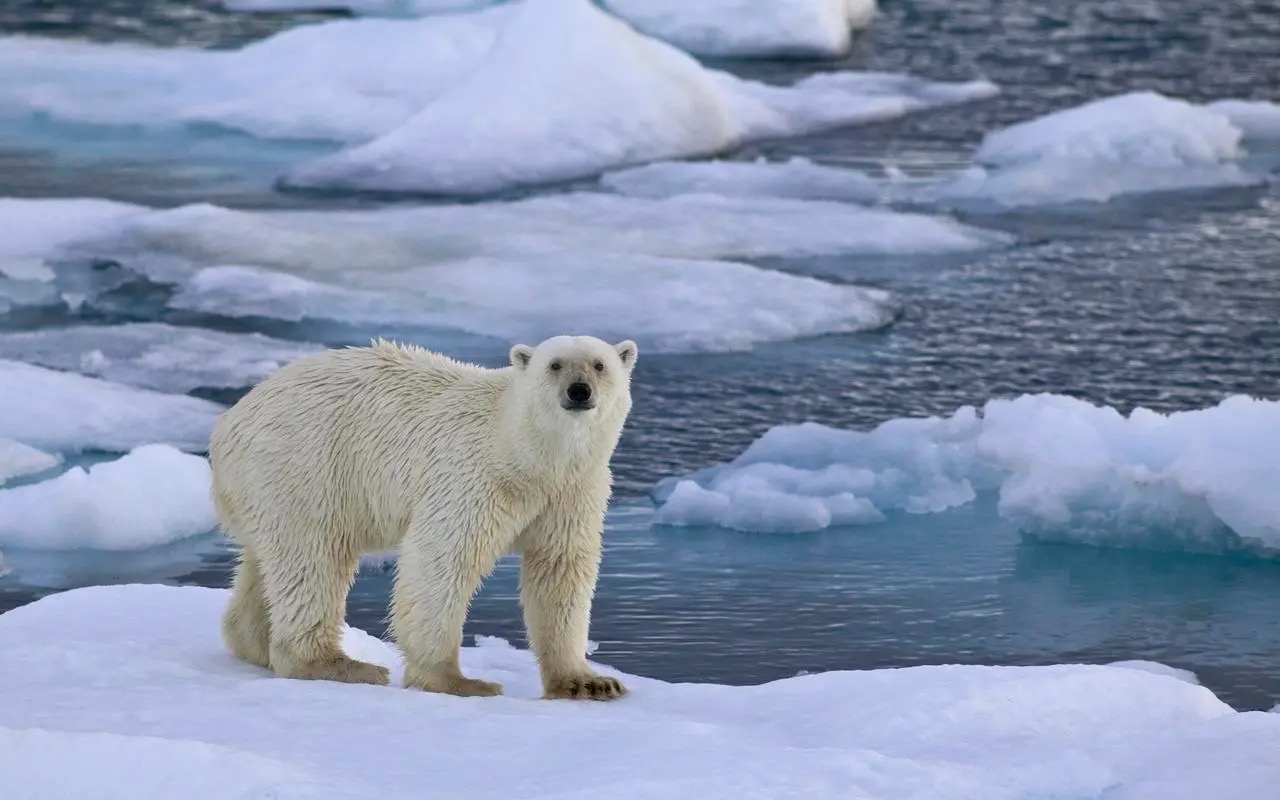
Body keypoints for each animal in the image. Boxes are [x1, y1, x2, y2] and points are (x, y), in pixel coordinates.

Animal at [208, 335, 640, 696]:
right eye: (555, 364)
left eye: (599, 365)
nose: (579, 391)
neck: (526, 456)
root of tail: (228, 423)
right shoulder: (473, 476)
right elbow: (442, 560)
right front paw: (458, 681)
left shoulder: (572, 492)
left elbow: (560, 569)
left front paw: (589, 682)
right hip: (304, 467)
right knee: (313, 559)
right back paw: (339, 664)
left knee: (267, 563)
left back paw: (254, 642)